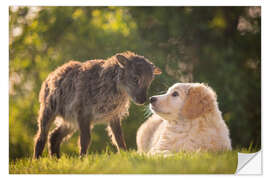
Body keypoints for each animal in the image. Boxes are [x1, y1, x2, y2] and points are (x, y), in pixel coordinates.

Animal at [32, 51, 161, 158]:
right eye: (135, 78)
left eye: (149, 81)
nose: (142, 100)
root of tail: (50, 75)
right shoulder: (83, 113)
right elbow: (85, 139)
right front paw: (82, 159)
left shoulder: (113, 115)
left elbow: (118, 137)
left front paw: (124, 154)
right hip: (48, 109)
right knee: (41, 136)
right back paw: (37, 160)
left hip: (70, 120)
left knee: (54, 136)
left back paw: (56, 159)